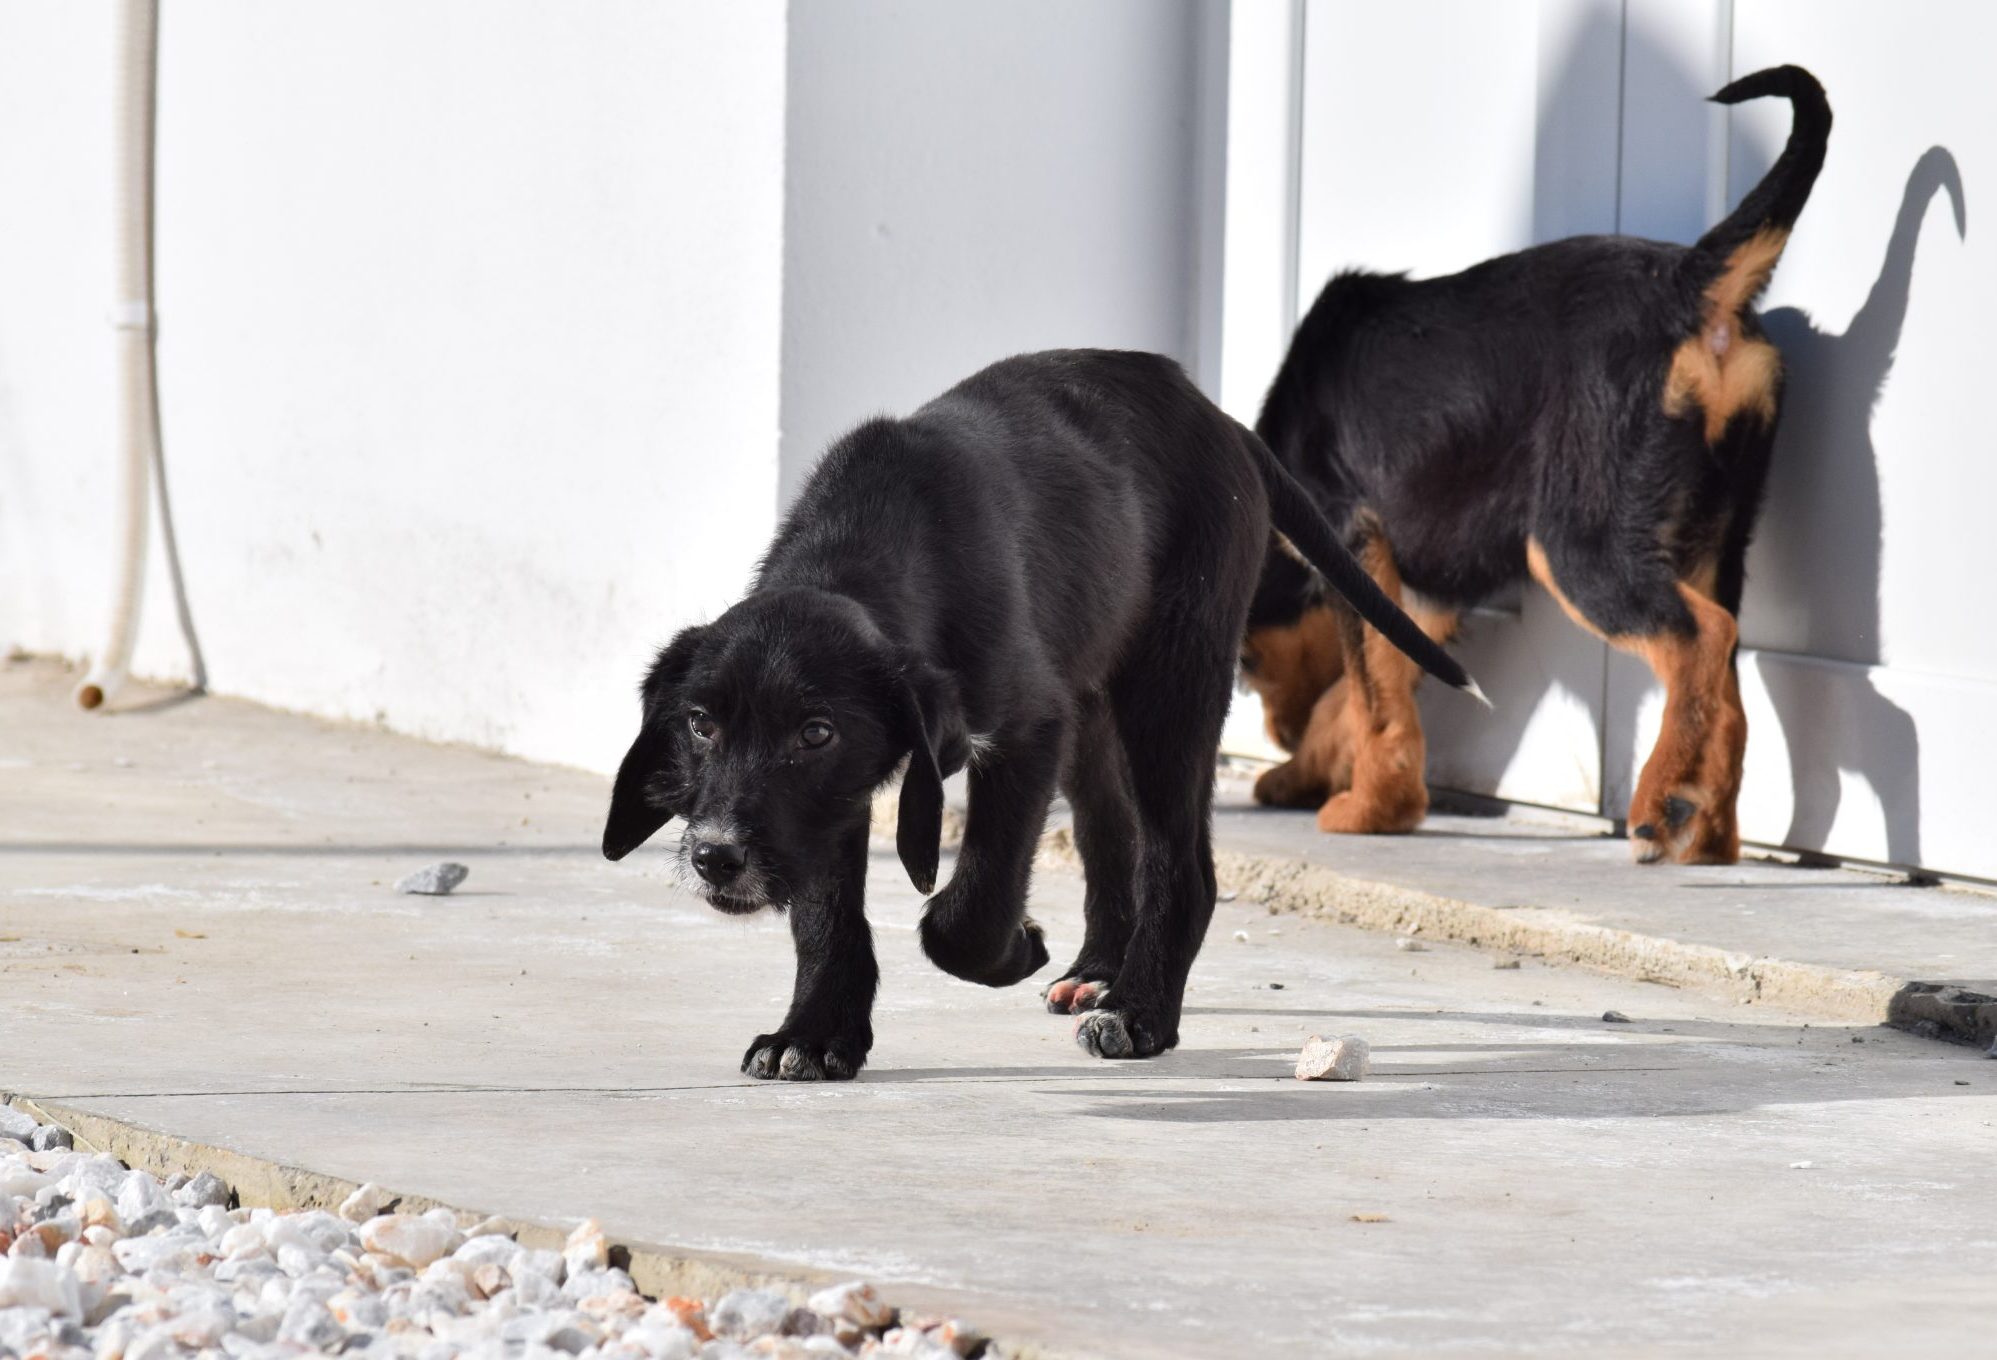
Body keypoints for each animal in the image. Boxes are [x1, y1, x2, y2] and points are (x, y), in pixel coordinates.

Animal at [602, 349, 1478, 1079]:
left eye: (813, 733)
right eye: (701, 724)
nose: (715, 857)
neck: (861, 554)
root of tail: (1217, 415)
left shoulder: (1025, 730)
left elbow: (969, 906)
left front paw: (1013, 949)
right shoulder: (830, 804)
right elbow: (825, 916)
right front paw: (813, 1035)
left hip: (1171, 684)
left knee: (1179, 863)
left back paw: (1138, 1014)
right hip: (1095, 715)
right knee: (1111, 836)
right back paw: (1098, 972)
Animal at [1239, 66, 1831, 865]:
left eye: (1245, 664)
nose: (1276, 740)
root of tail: (1690, 279)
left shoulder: (1354, 541)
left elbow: (1369, 693)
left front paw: (1367, 809)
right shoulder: (1421, 591)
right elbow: (1366, 689)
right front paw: (1323, 779)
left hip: (1577, 544)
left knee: (1700, 636)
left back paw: (1660, 799)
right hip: (1716, 533)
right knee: (1724, 670)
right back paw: (1705, 827)